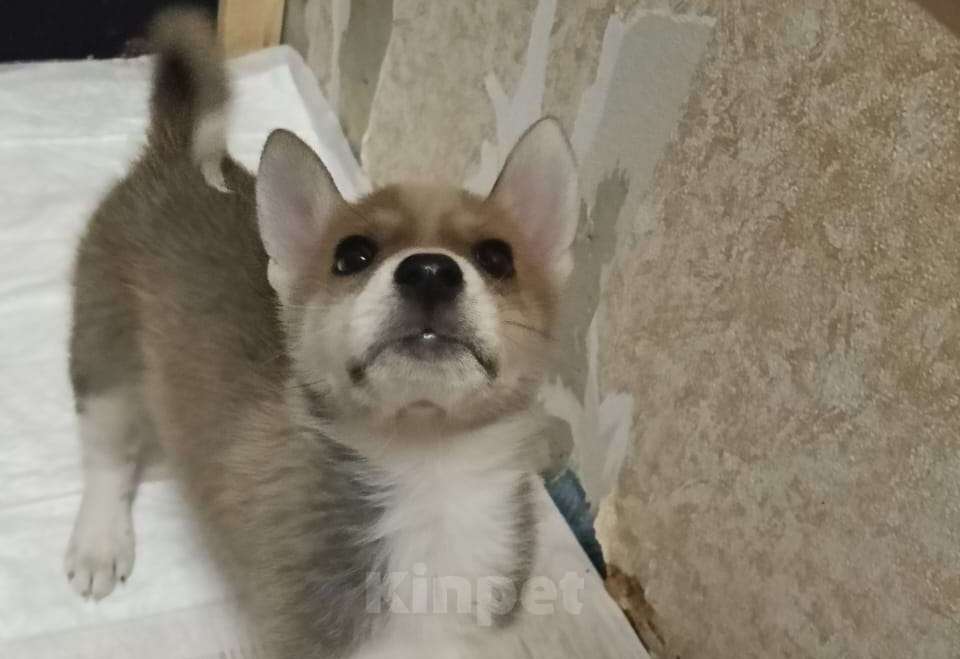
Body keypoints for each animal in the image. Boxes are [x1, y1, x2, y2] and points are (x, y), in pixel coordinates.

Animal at [64, 8, 579, 658]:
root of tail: (175, 151)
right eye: (351, 256)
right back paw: (99, 542)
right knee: (106, 453)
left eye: (497, 257)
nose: (429, 271)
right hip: (105, 353)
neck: (428, 470)